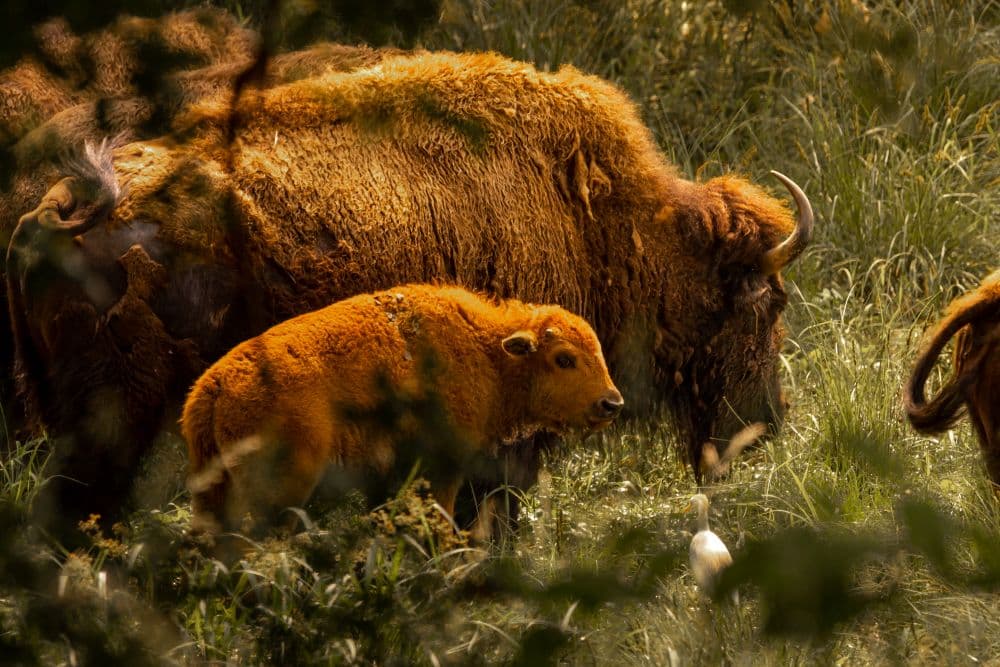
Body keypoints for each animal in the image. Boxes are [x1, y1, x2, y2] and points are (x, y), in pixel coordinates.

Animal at [181, 283, 623, 538]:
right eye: (564, 358)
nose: (611, 403)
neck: (486, 349)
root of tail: (212, 387)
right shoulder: (443, 467)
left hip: (213, 487)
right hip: (281, 489)